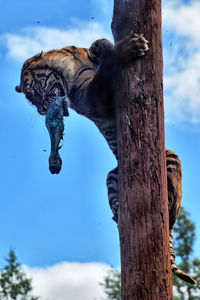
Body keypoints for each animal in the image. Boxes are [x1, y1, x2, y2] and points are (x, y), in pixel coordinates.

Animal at [15, 31, 195, 284]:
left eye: (33, 95)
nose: (42, 111)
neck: (65, 67)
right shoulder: (88, 97)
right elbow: (104, 71)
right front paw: (129, 47)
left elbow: (100, 47)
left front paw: (101, 47)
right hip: (112, 176)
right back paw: (120, 212)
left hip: (169, 157)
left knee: (172, 206)